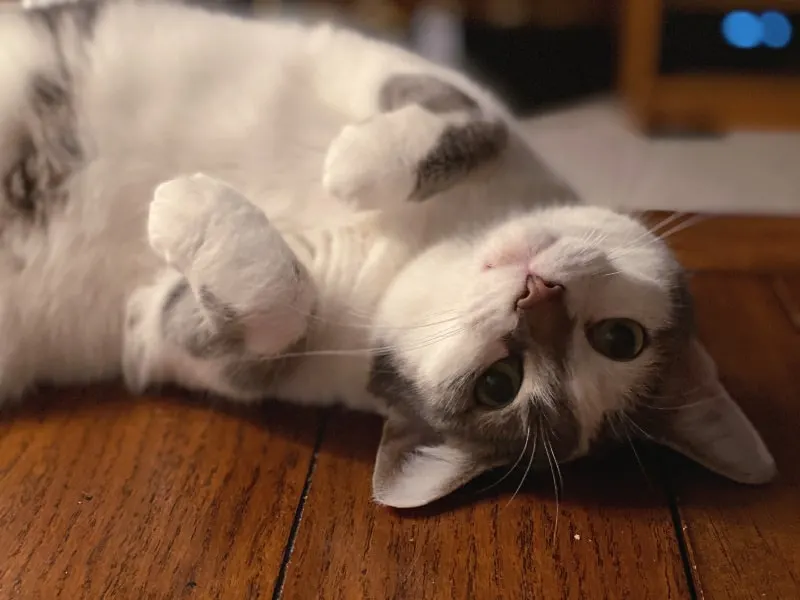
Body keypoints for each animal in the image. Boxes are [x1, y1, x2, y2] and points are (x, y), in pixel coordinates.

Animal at [0, 0, 776, 508]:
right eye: (622, 338)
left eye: (500, 383)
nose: (538, 298)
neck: (414, 250)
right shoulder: (409, 75)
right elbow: (469, 119)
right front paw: (352, 164)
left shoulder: (166, 336)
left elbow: (276, 298)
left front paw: (184, 202)